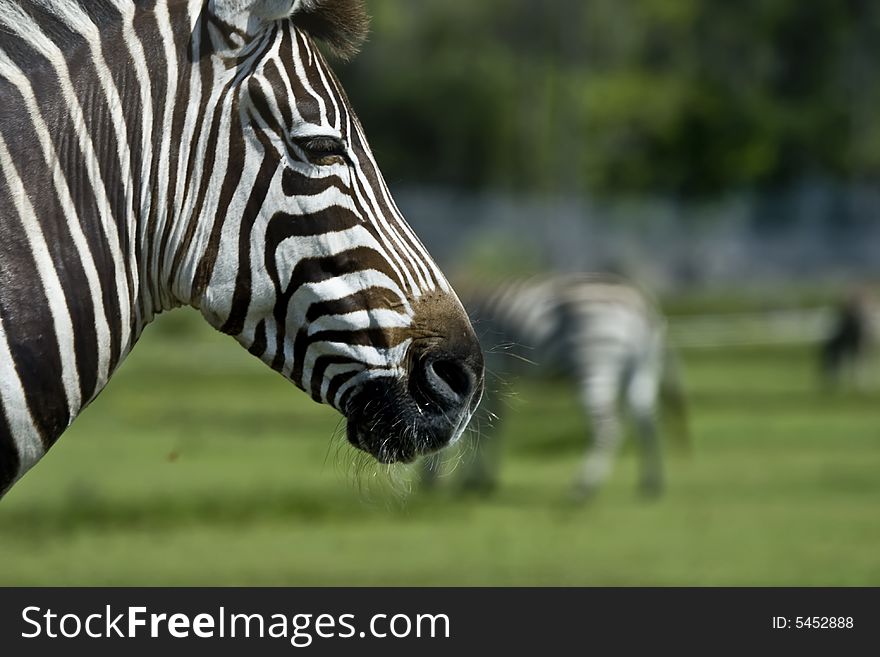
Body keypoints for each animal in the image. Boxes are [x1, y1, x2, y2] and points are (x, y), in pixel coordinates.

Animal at [422, 272, 688, 498]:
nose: (427, 487)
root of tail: (641, 301)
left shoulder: (487, 375)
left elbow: (479, 429)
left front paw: (473, 482)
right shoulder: (495, 381)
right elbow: (493, 426)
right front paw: (483, 481)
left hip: (595, 364)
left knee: (609, 426)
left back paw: (584, 488)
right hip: (642, 369)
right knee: (646, 420)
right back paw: (651, 484)